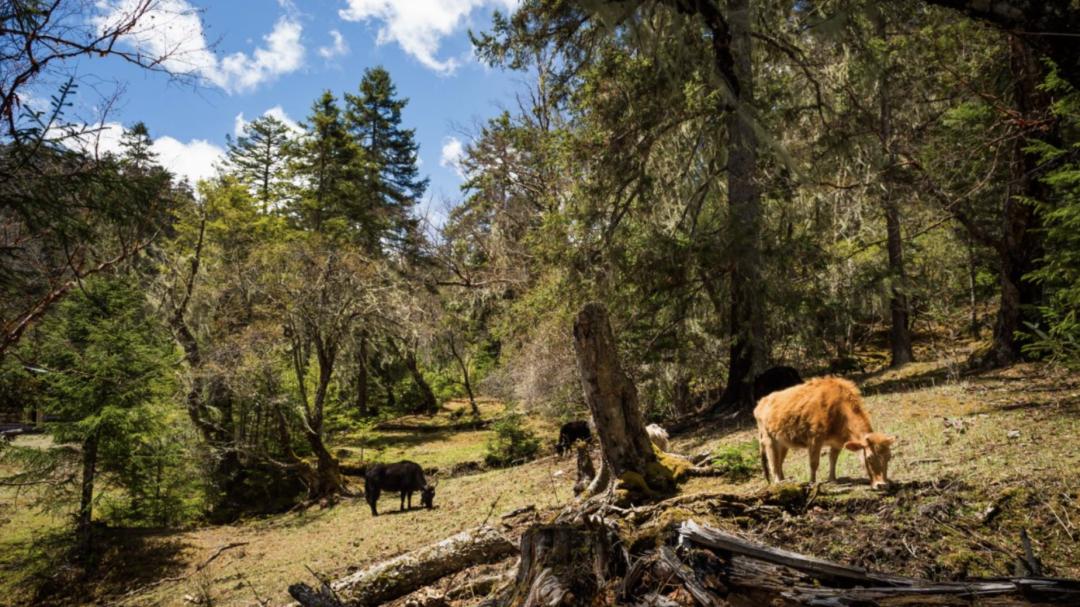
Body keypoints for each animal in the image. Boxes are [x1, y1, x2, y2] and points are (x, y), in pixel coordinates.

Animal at [751, 373, 894, 486]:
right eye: (869, 457)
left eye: (889, 457)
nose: (882, 484)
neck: (838, 409)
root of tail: (761, 403)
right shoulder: (815, 439)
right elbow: (814, 463)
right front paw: (812, 482)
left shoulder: (837, 443)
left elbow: (833, 460)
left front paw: (833, 479)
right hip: (769, 441)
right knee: (773, 463)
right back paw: (778, 482)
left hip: (783, 444)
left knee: (779, 462)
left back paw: (784, 481)